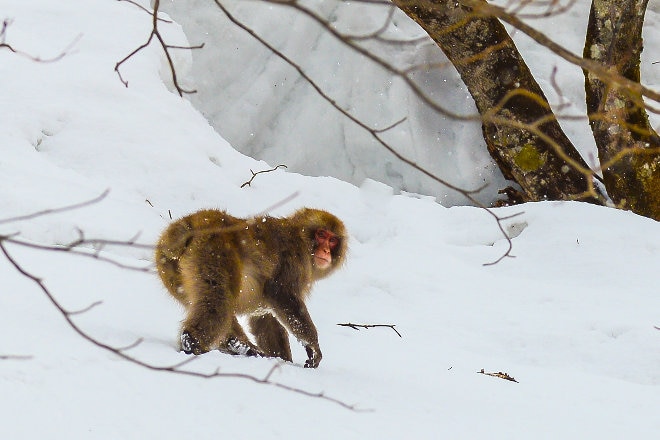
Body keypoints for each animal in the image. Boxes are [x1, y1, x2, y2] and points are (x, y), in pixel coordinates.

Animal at [155, 207, 348, 368]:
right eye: (321, 234)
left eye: (333, 240)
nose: (325, 251)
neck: (300, 236)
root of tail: (192, 221)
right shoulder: (295, 260)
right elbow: (281, 294)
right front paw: (313, 348)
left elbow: (264, 318)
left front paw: (282, 358)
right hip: (214, 254)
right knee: (220, 300)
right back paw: (192, 342)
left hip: (170, 270)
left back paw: (239, 346)